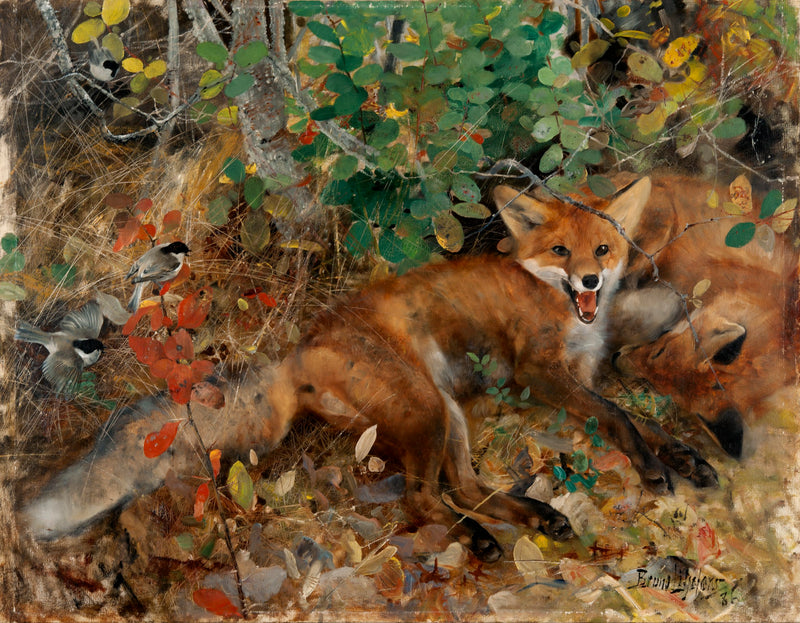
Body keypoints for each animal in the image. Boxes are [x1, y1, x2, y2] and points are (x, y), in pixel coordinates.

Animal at [20, 177, 717, 561]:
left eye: (602, 248)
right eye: (561, 252)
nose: (592, 281)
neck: (561, 308)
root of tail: (299, 348)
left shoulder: (583, 375)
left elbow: (644, 421)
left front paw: (686, 458)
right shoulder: (542, 374)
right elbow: (621, 417)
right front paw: (655, 469)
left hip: (447, 413)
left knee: (464, 488)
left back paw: (531, 518)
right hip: (428, 410)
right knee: (423, 497)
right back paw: (480, 539)